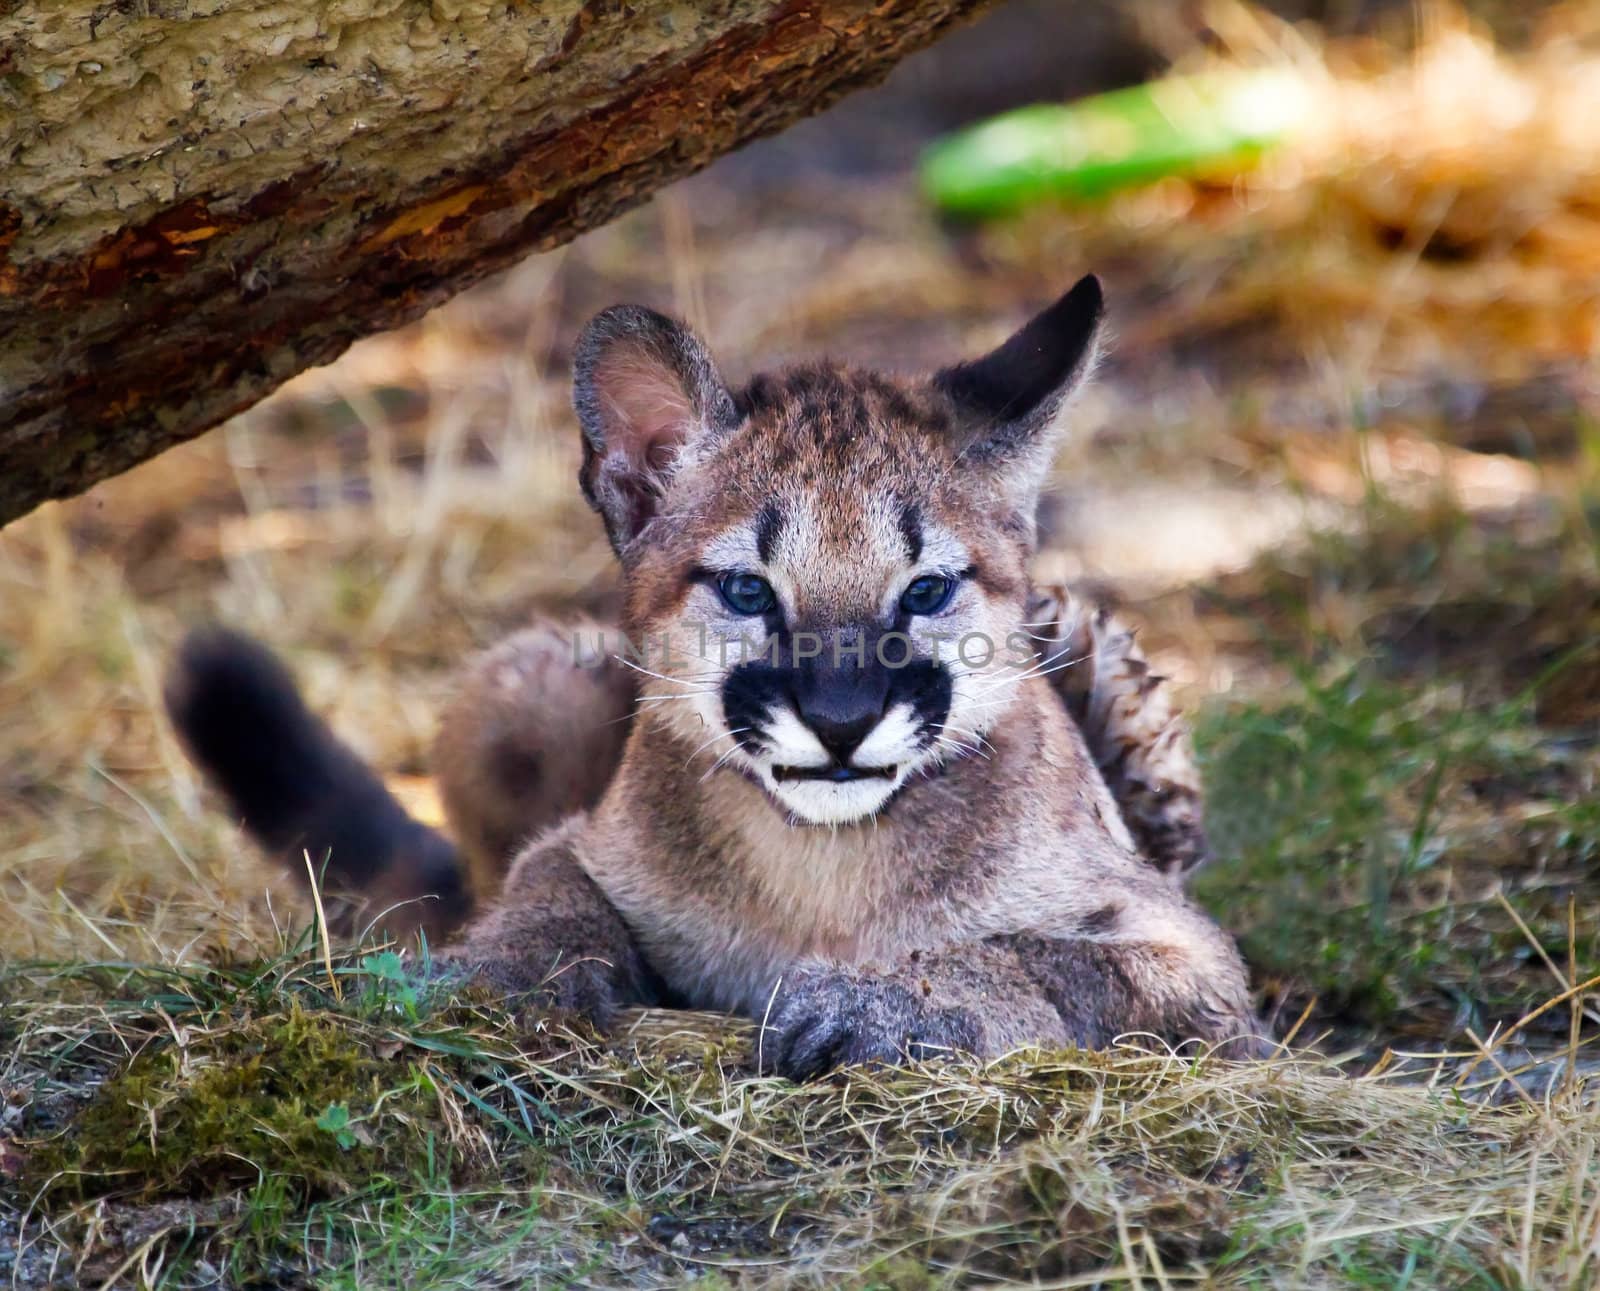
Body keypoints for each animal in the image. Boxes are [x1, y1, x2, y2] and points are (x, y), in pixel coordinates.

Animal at [165, 278, 1260, 1075]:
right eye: (745, 590)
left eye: (925, 590)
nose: (840, 720)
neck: (822, 867)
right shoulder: (581, 840)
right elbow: (544, 887)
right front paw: (503, 969)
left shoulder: (1205, 972)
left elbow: (1038, 953)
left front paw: (883, 1000)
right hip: (524, 683)